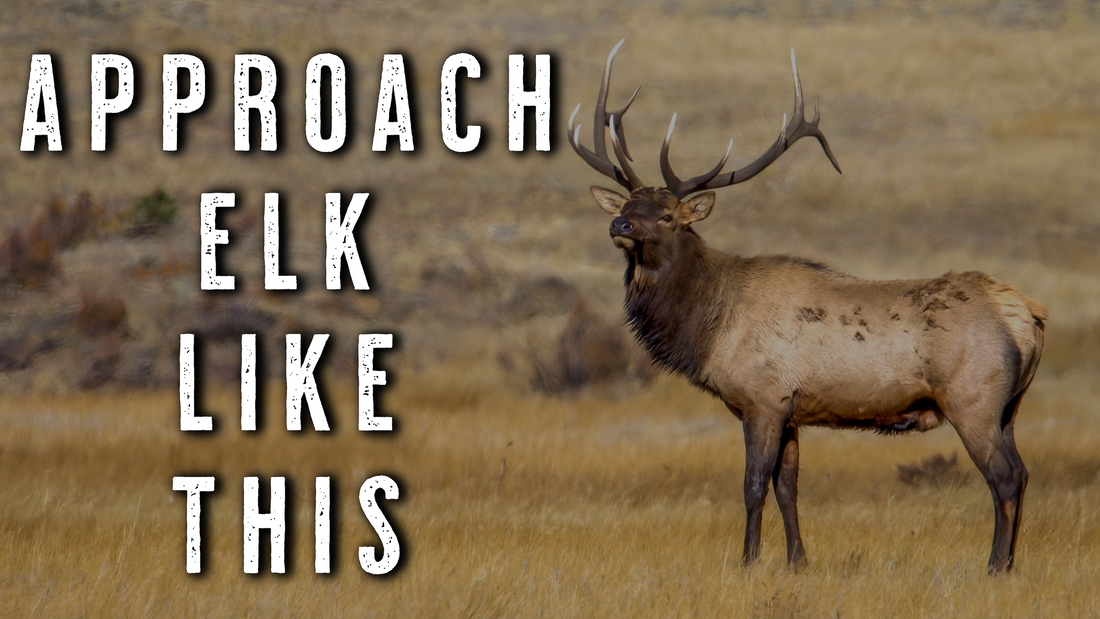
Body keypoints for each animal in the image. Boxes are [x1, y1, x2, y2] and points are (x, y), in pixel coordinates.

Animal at [568, 40, 1047, 574]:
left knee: (1004, 476)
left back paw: (996, 565)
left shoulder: (761, 399)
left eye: (668, 216)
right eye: (628, 206)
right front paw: (798, 560)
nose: (620, 227)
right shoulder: (792, 411)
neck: (710, 328)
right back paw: (1009, 562)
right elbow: (788, 488)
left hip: (972, 398)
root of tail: (1027, 316)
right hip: (1010, 406)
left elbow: (754, 486)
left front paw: (748, 561)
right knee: (1024, 471)